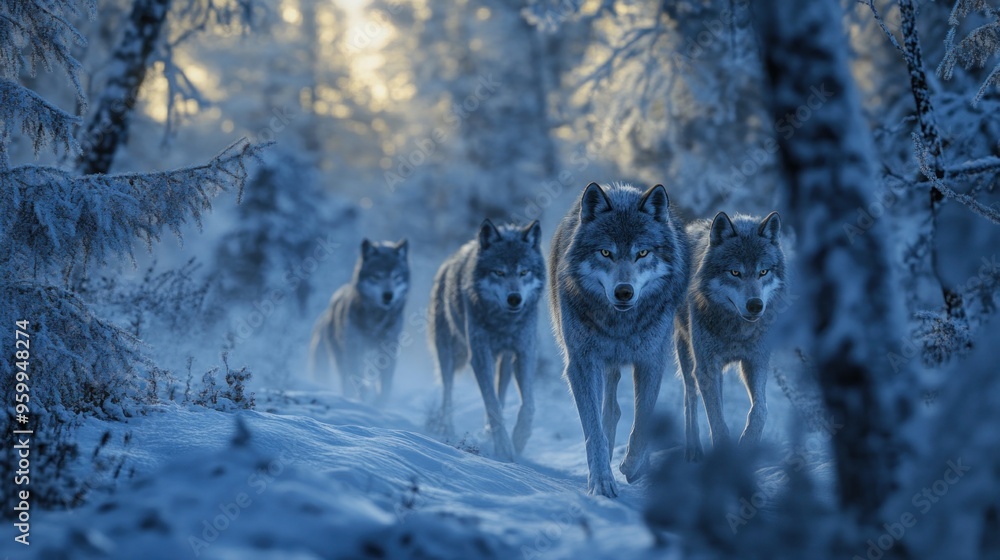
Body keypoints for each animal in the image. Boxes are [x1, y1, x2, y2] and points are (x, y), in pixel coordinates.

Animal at [309, 238, 409, 405]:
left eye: (396, 276)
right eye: (377, 276)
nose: (388, 295)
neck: (376, 319)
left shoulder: (388, 349)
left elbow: (385, 384)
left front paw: (380, 404)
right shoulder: (355, 349)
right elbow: (357, 377)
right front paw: (365, 397)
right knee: (346, 378)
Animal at [428, 219, 544, 462]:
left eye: (524, 272)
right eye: (499, 272)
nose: (514, 298)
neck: (504, 322)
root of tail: (447, 263)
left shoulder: (525, 352)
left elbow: (527, 406)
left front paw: (519, 440)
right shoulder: (480, 356)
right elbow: (492, 405)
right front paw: (504, 448)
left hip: (504, 360)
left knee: (501, 392)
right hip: (448, 353)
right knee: (447, 392)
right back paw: (447, 429)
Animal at [549, 182, 689, 497]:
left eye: (642, 253)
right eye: (605, 252)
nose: (624, 292)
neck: (620, 326)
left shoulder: (651, 361)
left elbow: (643, 422)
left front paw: (633, 467)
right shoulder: (582, 363)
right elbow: (593, 430)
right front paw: (601, 481)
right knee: (609, 413)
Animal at [674, 211, 785, 461]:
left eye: (763, 272)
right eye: (735, 272)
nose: (755, 305)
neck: (736, 331)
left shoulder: (755, 361)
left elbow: (760, 410)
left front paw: (748, 445)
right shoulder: (706, 367)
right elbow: (717, 421)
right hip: (687, 355)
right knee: (690, 399)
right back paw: (693, 450)